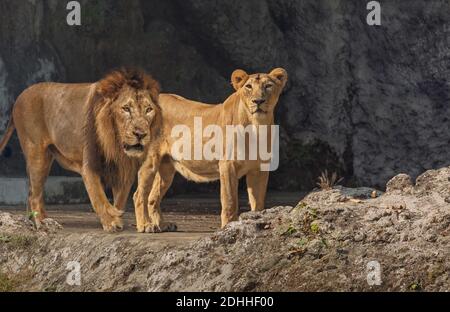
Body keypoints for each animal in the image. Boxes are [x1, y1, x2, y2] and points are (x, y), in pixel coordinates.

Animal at [0, 68, 162, 232]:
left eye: (149, 109)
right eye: (126, 109)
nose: (140, 134)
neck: (115, 143)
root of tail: (19, 97)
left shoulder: (124, 170)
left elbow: (120, 198)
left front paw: (122, 219)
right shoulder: (90, 165)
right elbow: (99, 197)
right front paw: (111, 221)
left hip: (46, 159)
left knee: (32, 192)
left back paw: (44, 221)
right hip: (37, 155)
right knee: (34, 194)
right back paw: (40, 223)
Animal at [134, 69, 288, 234]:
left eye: (268, 86)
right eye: (248, 86)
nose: (258, 101)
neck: (257, 126)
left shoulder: (259, 168)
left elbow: (258, 203)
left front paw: (257, 221)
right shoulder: (227, 165)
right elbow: (229, 201)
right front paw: (228, 228)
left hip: (167, 167)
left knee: (152, 197)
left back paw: (162, 225)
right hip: (150, 160)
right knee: (139, 194)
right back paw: (145, 225)